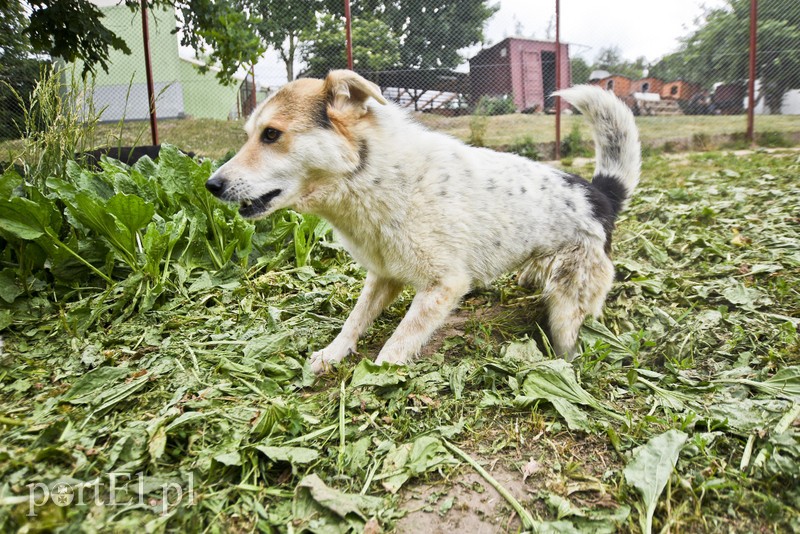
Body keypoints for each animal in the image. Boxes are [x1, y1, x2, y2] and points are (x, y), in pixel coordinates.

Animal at [208, 69, 644, 374]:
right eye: (250, 134)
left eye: (271, 134)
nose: (212, 184)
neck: (372, 177)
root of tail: (600, 194)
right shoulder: (382, 276)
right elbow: (353, 322)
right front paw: (332, 354)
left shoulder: (443, 286)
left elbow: (398, 342)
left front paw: (376, 375)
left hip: (567, 310)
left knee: (573, 337)